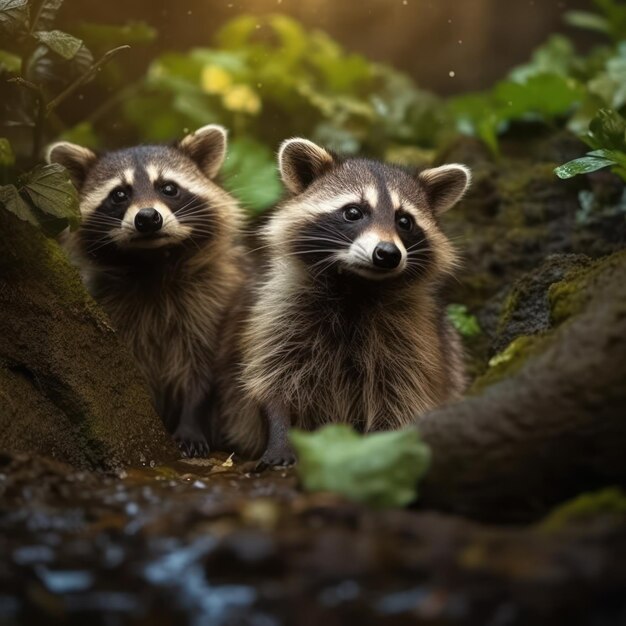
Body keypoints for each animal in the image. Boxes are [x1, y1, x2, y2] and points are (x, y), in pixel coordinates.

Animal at [46, 124, 245, 456]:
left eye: (168, 188)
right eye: (119, 194)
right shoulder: (113, 307)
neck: (152, 263)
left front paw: (191, 424)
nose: (148, 218)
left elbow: (199, 368)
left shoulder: (210, 299)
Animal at [217, 139, 470, 466]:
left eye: (404, 221)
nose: (387, 254)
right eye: (353, 212)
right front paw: (279, 431)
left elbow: (402, 394)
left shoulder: (412, 335)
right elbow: (273, 377)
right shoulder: (279, 311)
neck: (355, 285)